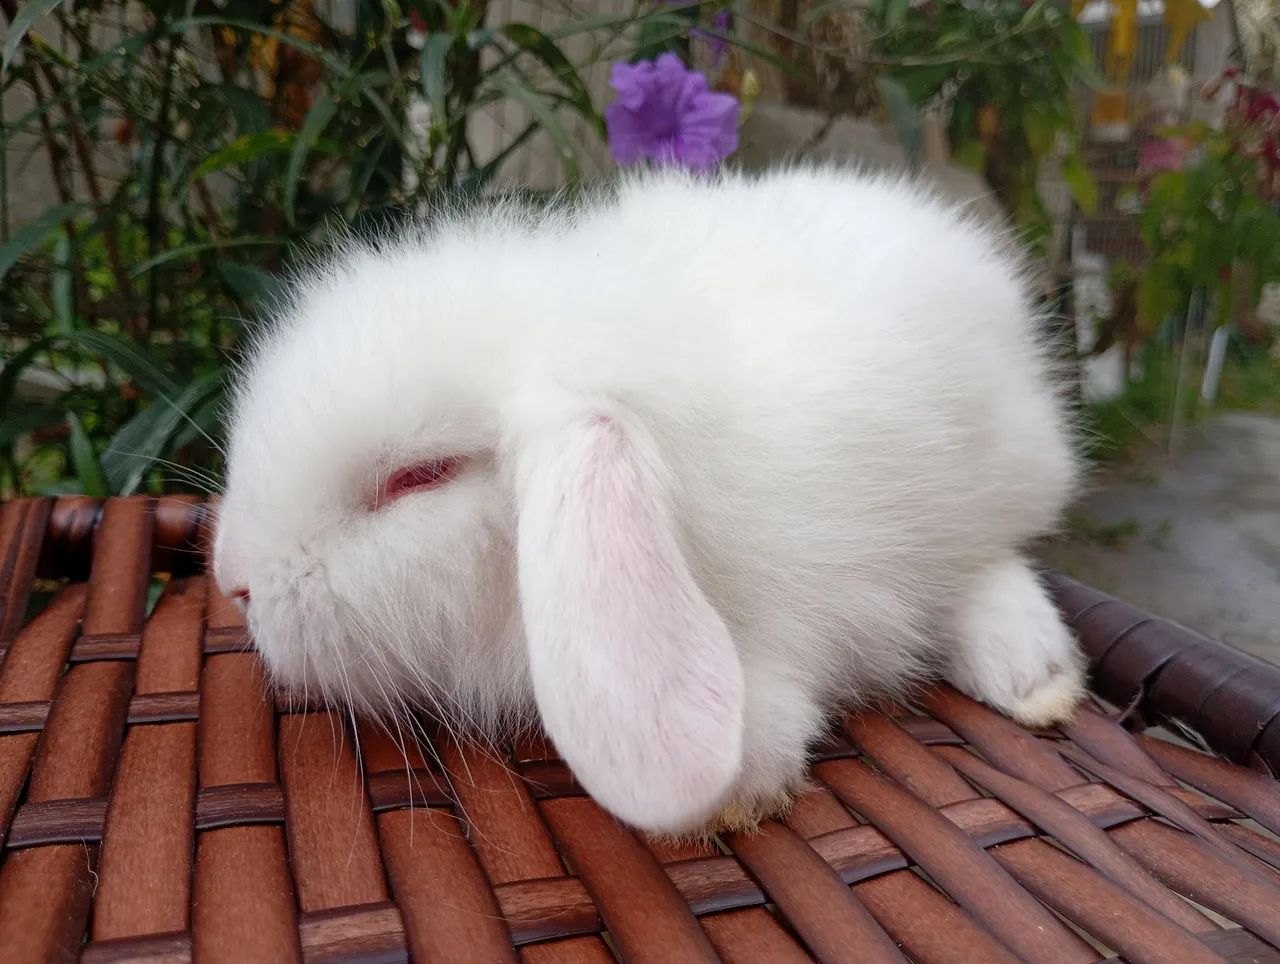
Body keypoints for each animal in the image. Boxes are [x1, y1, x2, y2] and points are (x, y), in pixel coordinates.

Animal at [213, 165, 1085, 837]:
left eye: (418, 477)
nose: (233, 581)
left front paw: (734, 794)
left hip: (1007, 474)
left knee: (997, 557)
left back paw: (1035, 677)